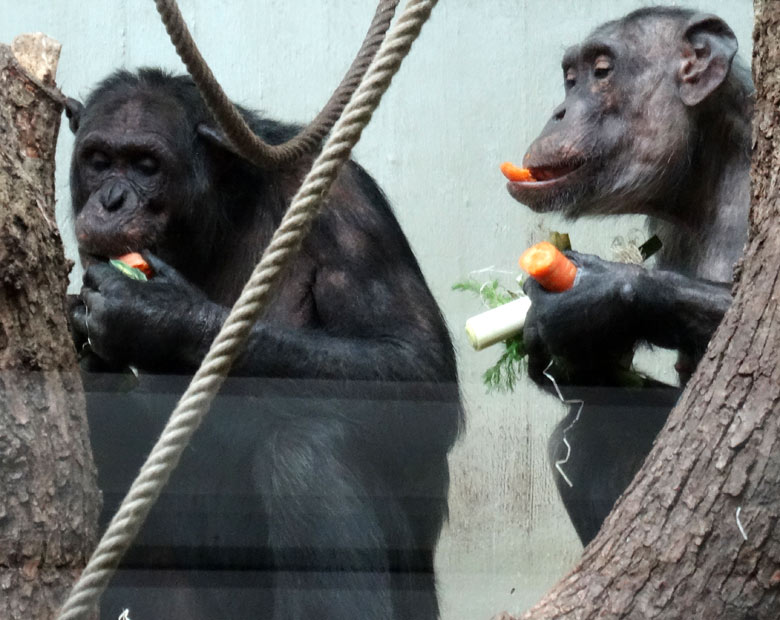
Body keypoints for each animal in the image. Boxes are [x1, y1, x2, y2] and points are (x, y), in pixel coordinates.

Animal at [65, 65, 464, 616]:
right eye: (99, 161)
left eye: (146, 166)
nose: (111, 200)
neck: (219, 219)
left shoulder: (347, 208)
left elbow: (416, 364)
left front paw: (153, 315)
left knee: (307, 456)